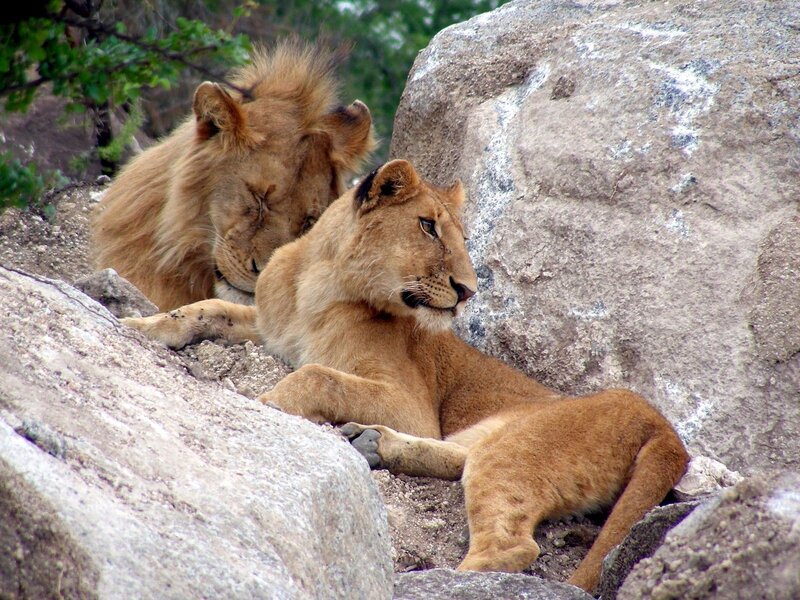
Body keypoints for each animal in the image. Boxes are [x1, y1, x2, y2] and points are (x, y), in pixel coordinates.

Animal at [122, 159, 689, 593]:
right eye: (428, 227)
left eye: (461, 236)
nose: (468, 290)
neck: (316, 285)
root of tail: (663, 427)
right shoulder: (267, 328)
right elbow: (204, 308)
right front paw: (139, 325)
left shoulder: (411, 403)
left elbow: (318, 376)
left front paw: (266, 403)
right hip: (492, 437)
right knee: (461, 461)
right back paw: (371, 443)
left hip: (521, 448)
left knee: (511, 546)